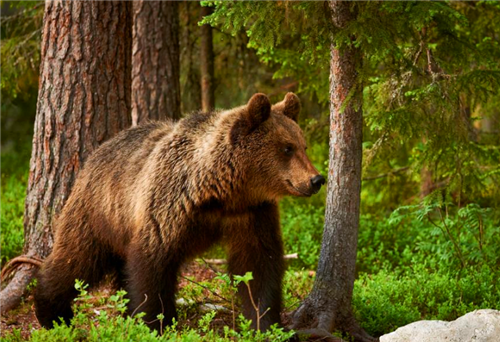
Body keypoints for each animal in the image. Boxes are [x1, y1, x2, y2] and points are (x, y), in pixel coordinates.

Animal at [34, 92, 324, 332]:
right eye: (287, 147)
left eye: (303, 145)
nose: (316, 179)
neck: (221, 191)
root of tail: (97, 151)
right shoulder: (170, 204)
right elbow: (152, 264)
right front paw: (154, 322)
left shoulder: (252, 213)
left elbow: (258, 265)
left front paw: (266, 323)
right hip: (99, 212)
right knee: (77, 259)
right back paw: (52, 311)